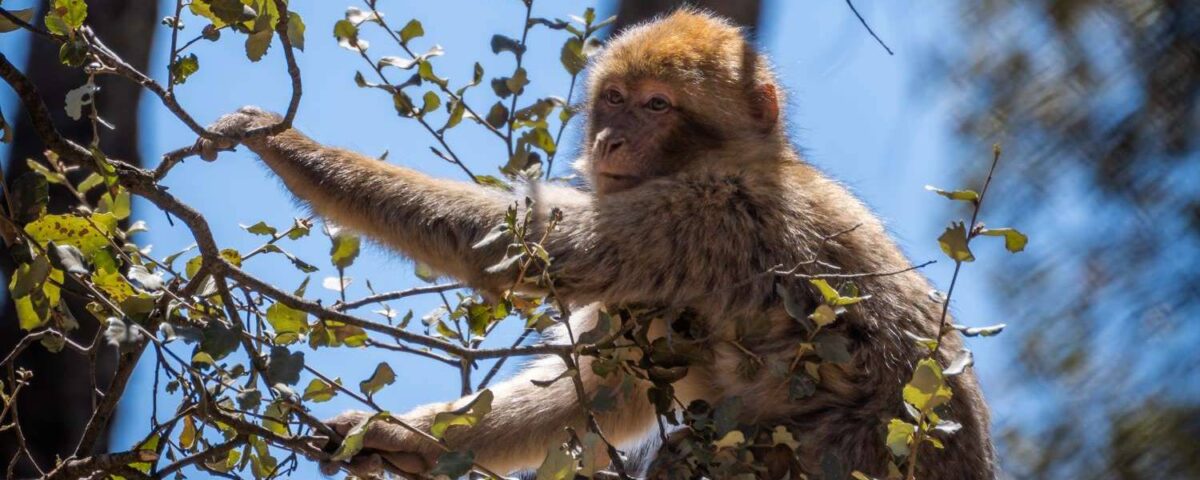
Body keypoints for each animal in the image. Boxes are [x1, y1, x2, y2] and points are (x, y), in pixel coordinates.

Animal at [196, 9, 996, 480]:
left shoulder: (705, 215)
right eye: (614, 98)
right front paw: (401, 439)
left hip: (845, 459)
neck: (720, 157)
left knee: (701, 449)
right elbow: (602, 391)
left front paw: (289, 147)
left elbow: (520, 244)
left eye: (657, 105)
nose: (611, 138)